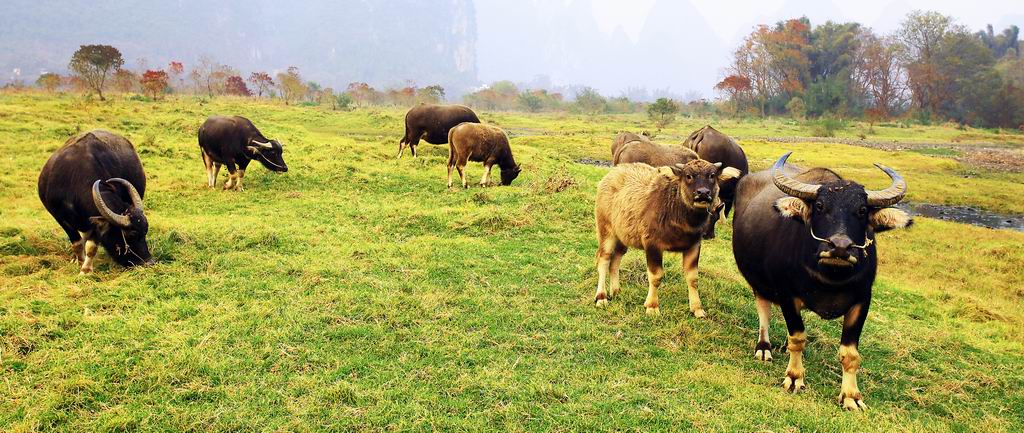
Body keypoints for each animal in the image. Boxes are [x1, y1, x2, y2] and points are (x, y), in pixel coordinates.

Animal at [37, 130, 154, 274]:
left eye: (145, 231)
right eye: (132, 235)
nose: (149, 262)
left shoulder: (96, 223)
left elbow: (91, 246)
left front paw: (86, 269)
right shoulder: (60, 217)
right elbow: (77, 243)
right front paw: (79, 262)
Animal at [593, 160, 745, 317]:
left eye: (712, 175)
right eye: (688, 176)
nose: (703, 193)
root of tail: (612, 173)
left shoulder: (694, 246)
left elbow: (693, 278)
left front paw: (697, 308)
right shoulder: (652, 245)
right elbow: (656, 276)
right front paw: (652, 306)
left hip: (623, 236)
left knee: (616, 259)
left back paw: (616, 291)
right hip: (606, 231)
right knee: (604, 259)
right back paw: (601, 297)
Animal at [729, 153, 913, 413]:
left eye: (862, 210)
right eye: (819, 206)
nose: (840, 246)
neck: (831, 278)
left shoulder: (862, 301)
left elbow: (850, 353)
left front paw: (851, 396)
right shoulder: (787, 295)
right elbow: (798, 337)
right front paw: (794, 377)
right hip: (758, 280)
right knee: (763, 307)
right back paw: (764, 348)